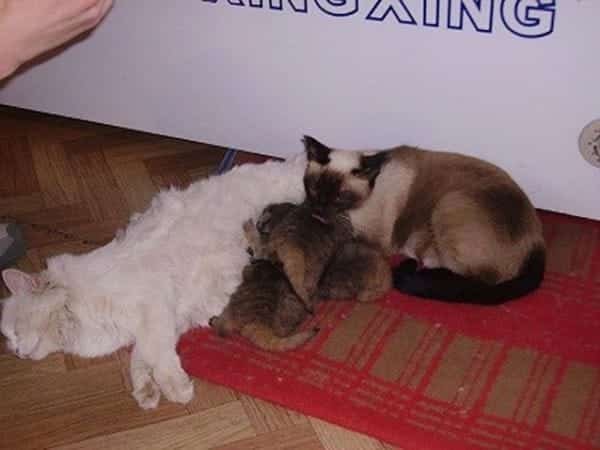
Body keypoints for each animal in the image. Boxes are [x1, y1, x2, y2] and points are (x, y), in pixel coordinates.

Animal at [302, 136, 548, 306]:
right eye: (313, 188)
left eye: (340, 196)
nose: (318, 209)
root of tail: (538, 244)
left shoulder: (372, 238)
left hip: (448, 203)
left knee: (470, 278)